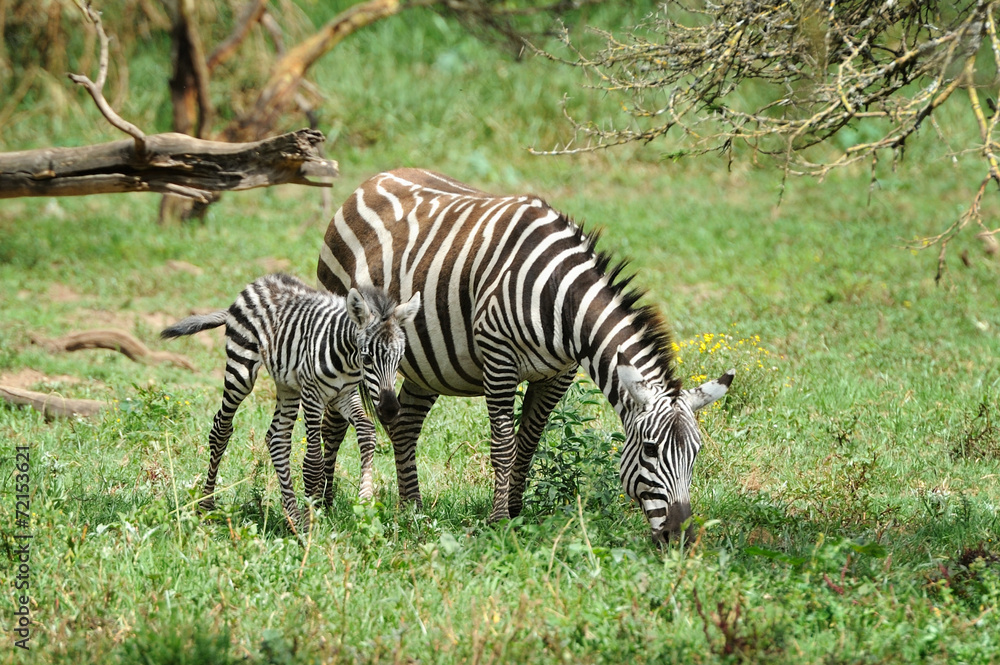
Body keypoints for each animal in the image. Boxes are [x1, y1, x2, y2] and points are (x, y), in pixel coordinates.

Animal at [160, 273, 421, 533]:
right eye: (367, 357)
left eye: (399, 358)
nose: (389, 410)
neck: (347, 360)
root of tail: (260, 281)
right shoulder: (313, 396)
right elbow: (313, 462)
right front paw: (311, 523)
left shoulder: (345, 394)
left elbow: (367, 432)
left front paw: (364, 502)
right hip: (241, 369)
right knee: (221, 428)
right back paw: (206, 506)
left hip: (288, 385)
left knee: (277, 439)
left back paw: (292, 517)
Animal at [317, 168, 733, 543]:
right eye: (649, 450)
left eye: (695, 453)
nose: (682, 538)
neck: (560, 297)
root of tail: (374, 180)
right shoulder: (498, 359)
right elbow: (503, 445)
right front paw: (499, 521)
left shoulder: (558, 375)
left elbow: (529, 443)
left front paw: (516, 512)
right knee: (333, 422)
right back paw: (323, 504)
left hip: (428, 365)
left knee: (404, 423)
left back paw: (411, 509)